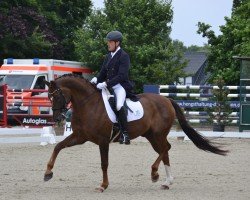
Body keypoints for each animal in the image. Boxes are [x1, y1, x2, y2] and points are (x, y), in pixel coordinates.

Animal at [44, 74, 228, 192]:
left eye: (57, 96)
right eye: (49, 97)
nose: (58, 118)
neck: (88, 104)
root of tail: (167, 99)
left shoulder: (103, 141)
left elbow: (104, 163)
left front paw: (103, 185)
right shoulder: (80, 137)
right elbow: (58, 147)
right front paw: (48, 173)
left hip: (158, 134)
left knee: (166, 149)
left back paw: (155, 174)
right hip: (152, 136)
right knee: (165, 151)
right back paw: (166, 182)